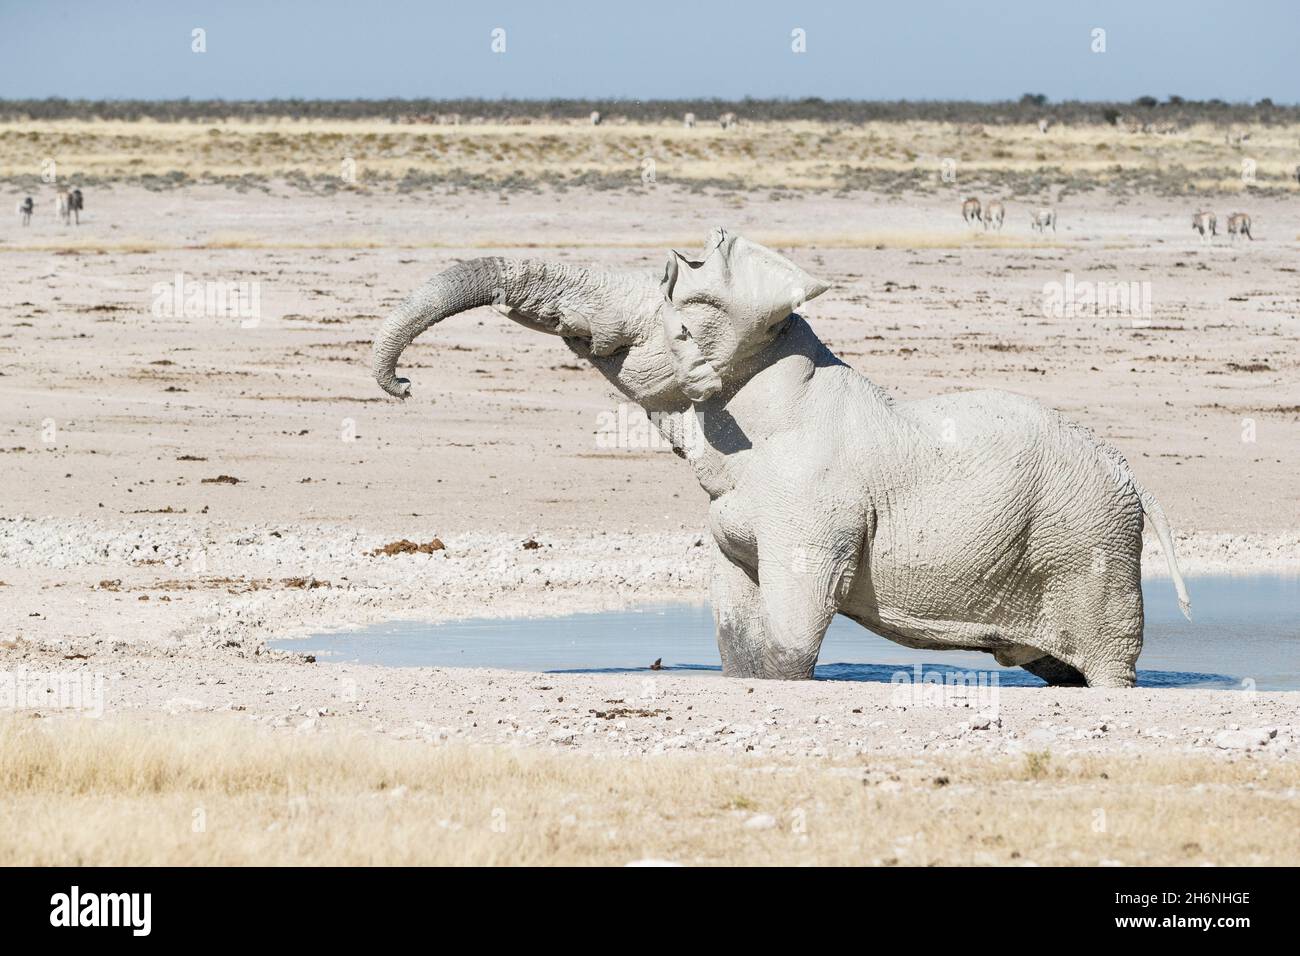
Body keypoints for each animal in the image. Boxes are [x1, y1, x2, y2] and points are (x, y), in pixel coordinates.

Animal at [374, 227, 1190, 686]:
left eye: (677, 312)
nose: (404, 385)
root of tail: (1136, 480)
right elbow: (737, 624)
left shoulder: (815, 507)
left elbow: (794, 634)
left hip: (1092, 547)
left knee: (1106, 665)